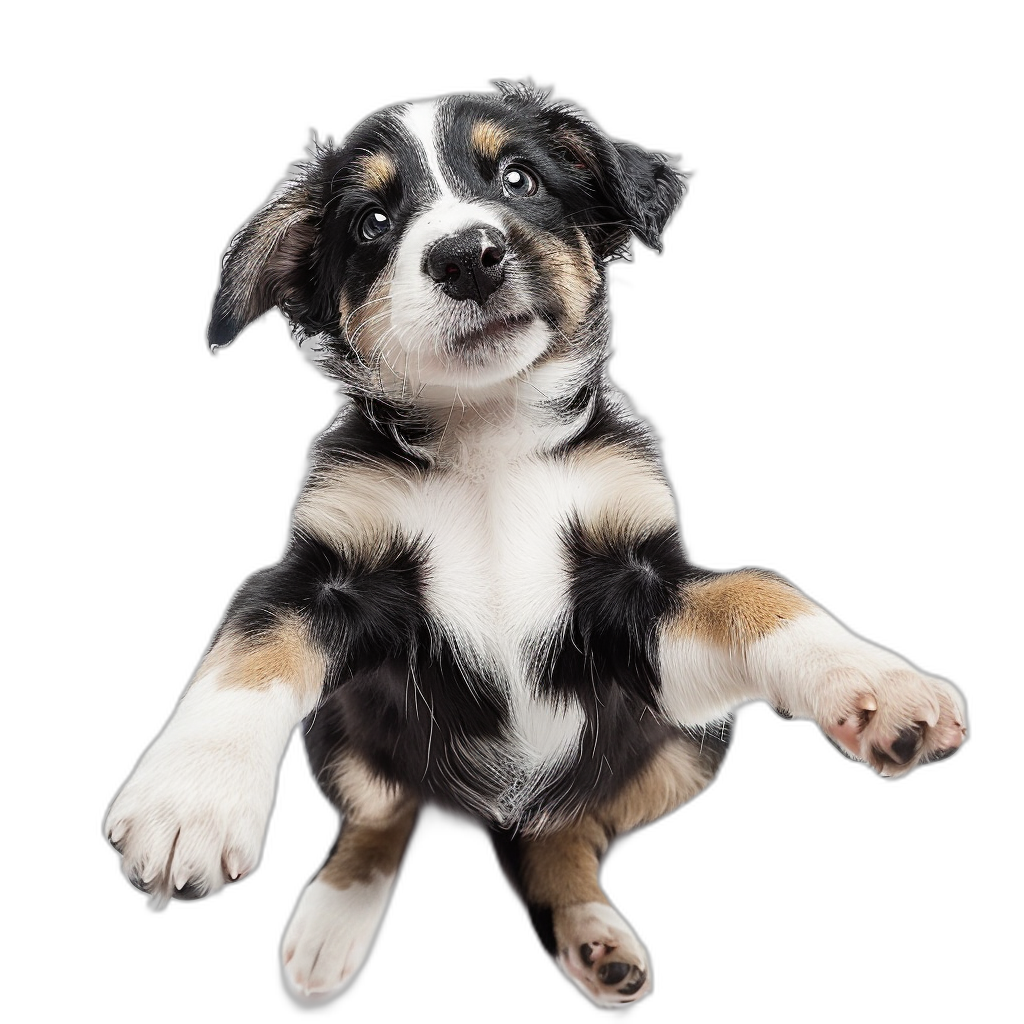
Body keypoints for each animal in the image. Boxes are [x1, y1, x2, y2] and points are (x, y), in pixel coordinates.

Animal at [103, 79, 966, 1007]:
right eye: (372, 222)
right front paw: (188, 801)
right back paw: (332, 927)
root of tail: (494, 809)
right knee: (383, 812)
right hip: (340, 726)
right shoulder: (316, 579)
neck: (490, 438)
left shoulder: (641, 589)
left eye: (518, 179)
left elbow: (757, 589)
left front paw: (879, 686)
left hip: (693, 741)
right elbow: (246, 660)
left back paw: (591, 935)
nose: (466, 256)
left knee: (561, 827)